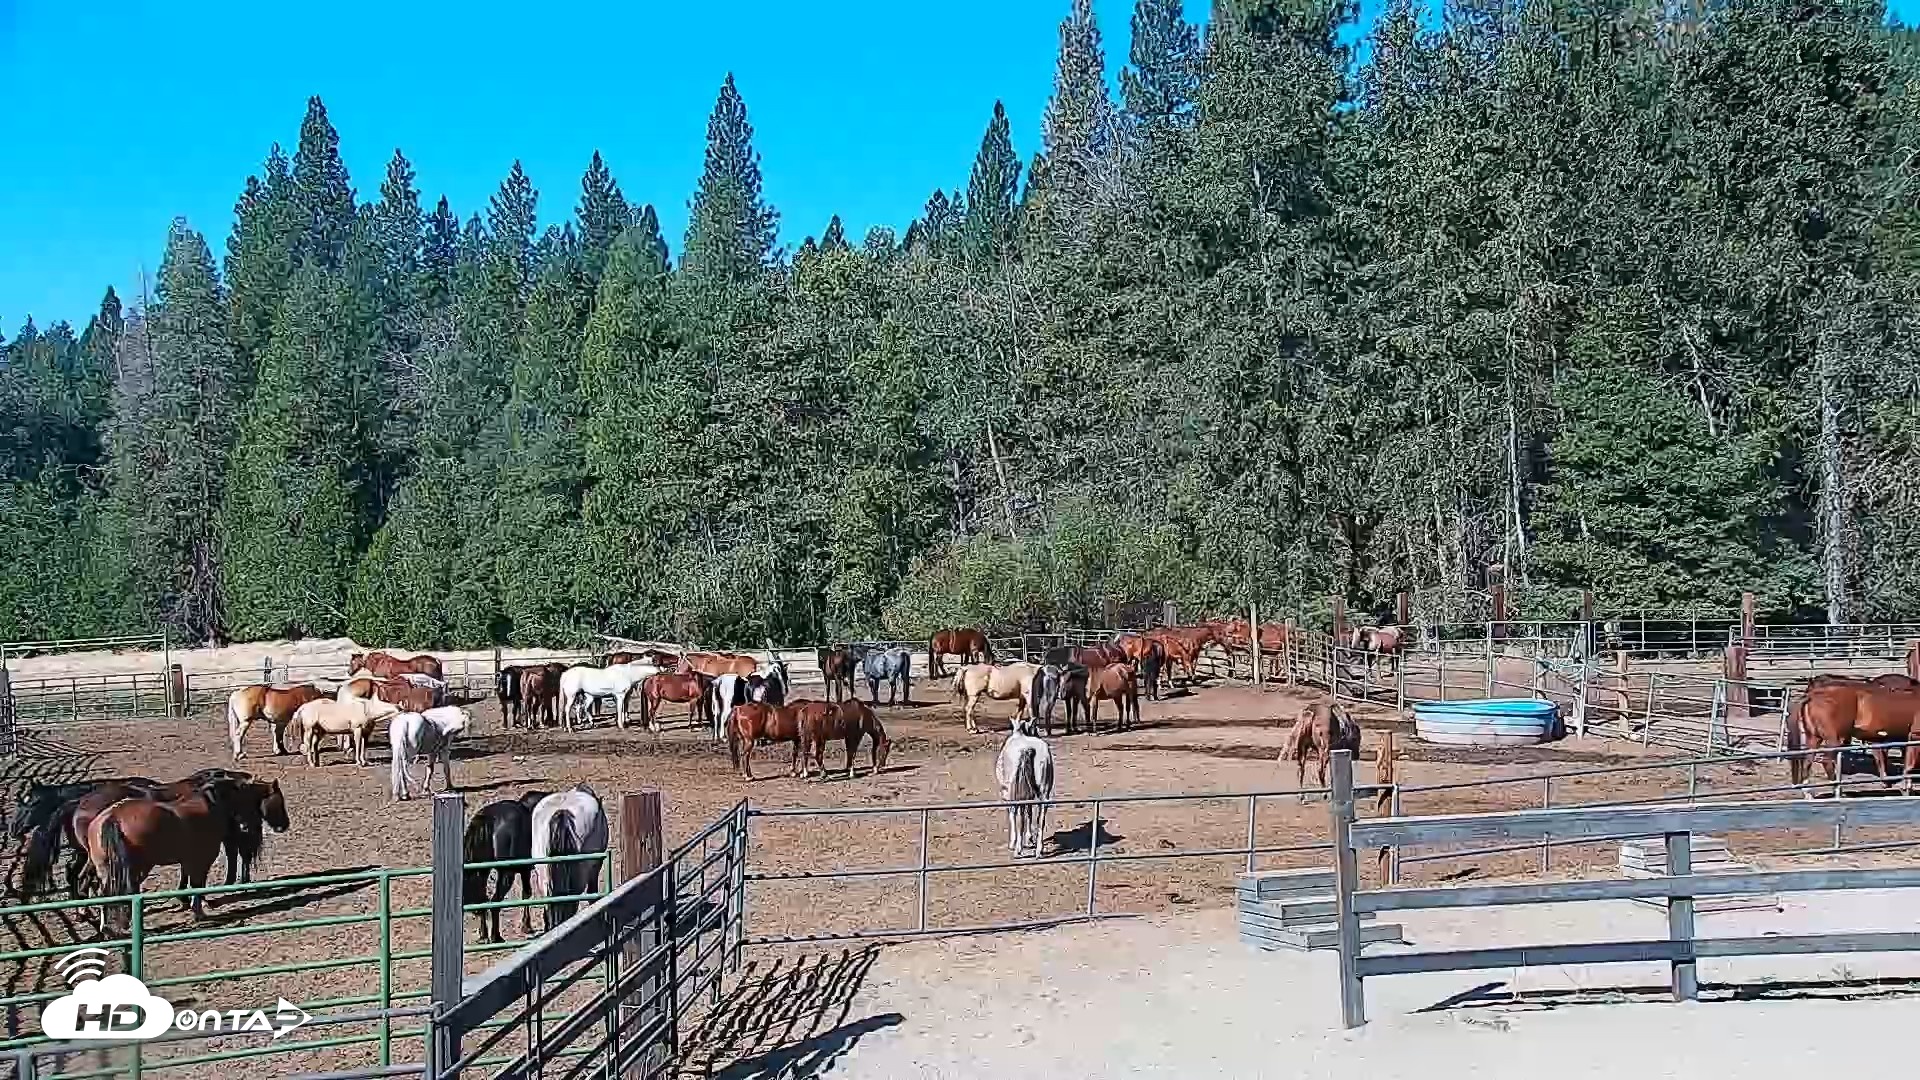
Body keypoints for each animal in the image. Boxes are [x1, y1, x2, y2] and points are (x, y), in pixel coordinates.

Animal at [87, 776, 245, 932]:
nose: (243, 825)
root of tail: (114, 816)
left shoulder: (188, 859)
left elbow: (186, 878)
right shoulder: (202, 859)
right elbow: (197, 884)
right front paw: (198, 912)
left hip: (106, 868)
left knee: (104, 893)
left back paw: (106, 928)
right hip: (137, 867)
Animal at [464, 797, 537, 943]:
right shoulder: (525, 869)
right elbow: (526, 894)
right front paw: (526, 926)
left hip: (482, 872)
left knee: (483, 899)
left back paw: (484, 936)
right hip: (506, 873)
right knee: (495, 900)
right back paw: (496, 936)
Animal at [995, 720, 1055, 859]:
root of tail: (1027, 750)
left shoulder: (1008, 794)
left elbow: (1012, 814)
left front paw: (1013, 843)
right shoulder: (1030, 793)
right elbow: (1029, 812)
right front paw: (1029, 839)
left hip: (1017, 792)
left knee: (1019, 816)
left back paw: (1018, 849)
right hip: (1043, 792)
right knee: (1041, 817)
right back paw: (1038, 850)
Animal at [1787, 678, 1920, 795]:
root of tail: (1812, 696)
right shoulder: (1914, 737)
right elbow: (1909, 765)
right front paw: (1906, 788)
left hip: (1814, 738)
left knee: (1807, 763)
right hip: (1834, 740)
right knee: (1826, 762)